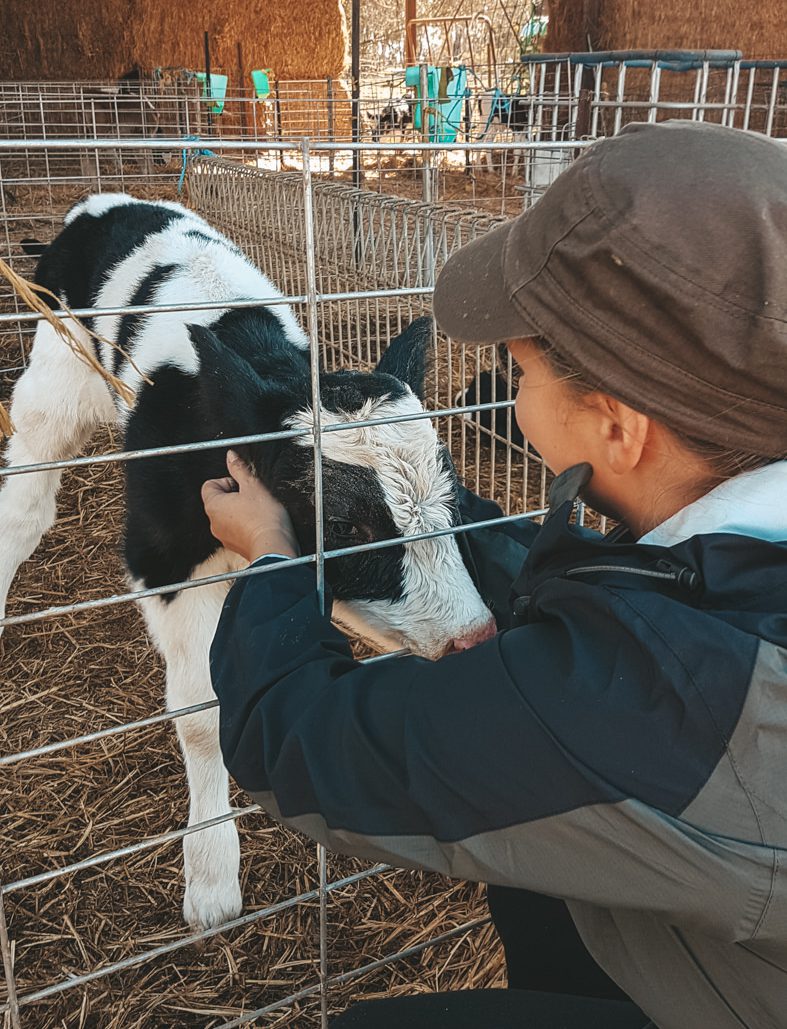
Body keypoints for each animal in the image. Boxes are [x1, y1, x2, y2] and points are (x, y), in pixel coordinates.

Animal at [0, 193, 491, 934]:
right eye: (342, 526)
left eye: (454, 499)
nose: (475, 636)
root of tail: (104, 204)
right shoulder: (163, 555)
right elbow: (203, 714)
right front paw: (210, 875)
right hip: (54, 376)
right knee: (25, 498)